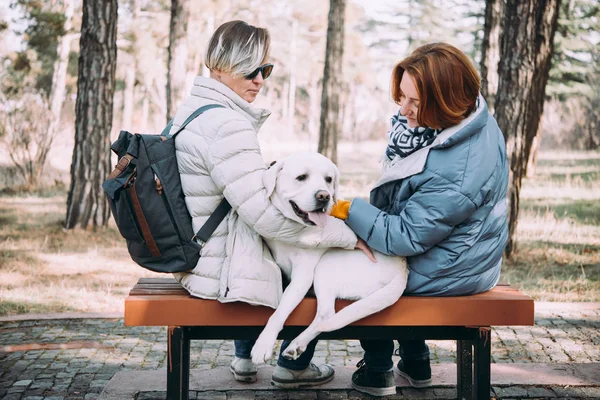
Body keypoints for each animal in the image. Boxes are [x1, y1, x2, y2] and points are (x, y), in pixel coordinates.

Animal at [251, 153, 410, 366]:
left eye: (328, 179)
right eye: (301, 177)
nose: (324, 196)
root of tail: (403, 271)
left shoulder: (302, 278)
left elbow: (279, 313)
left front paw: (263, 344)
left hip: (325, 265)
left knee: (326, 315)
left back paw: (297, 344)